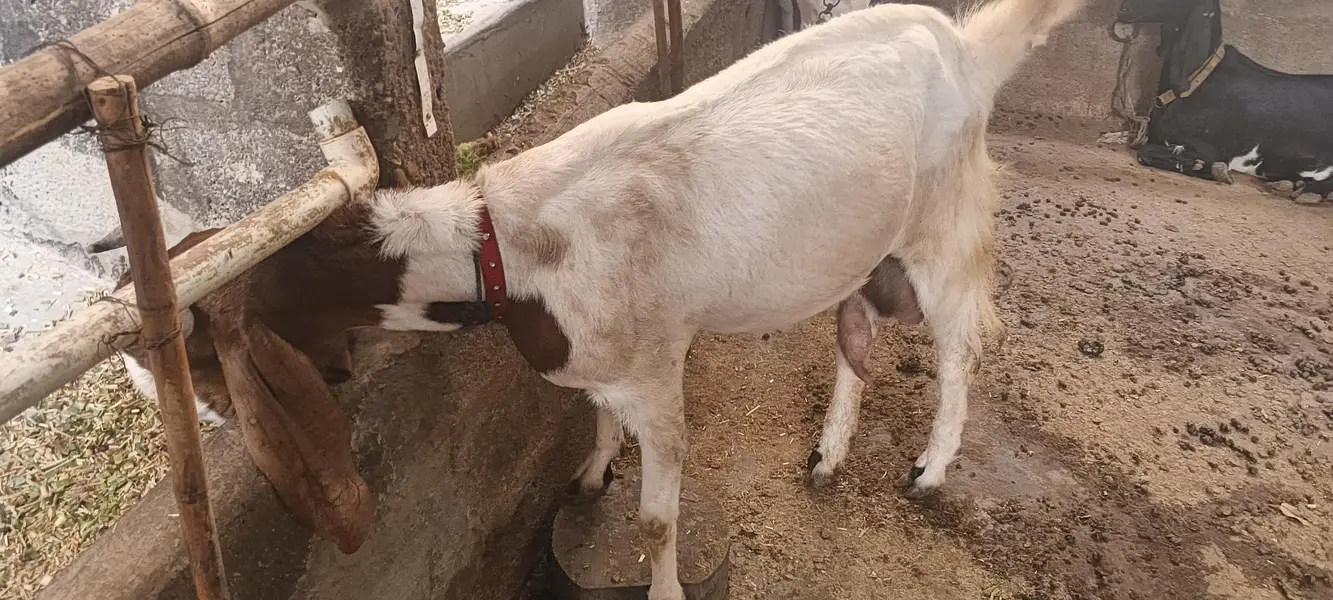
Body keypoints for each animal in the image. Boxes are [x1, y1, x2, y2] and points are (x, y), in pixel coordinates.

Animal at [106, 0, 1082, 594]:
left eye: (197, 357)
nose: (210, 420)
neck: (502, 246)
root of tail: (961, 43)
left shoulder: (655, 372)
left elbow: (656, 518)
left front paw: (662, 582)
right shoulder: (603, 364)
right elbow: (591, 418)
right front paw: (590, 470)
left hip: (941, 219)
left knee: (960, 339)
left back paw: (930, 468)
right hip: (861, 244)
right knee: (856, 330)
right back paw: (830, 451)